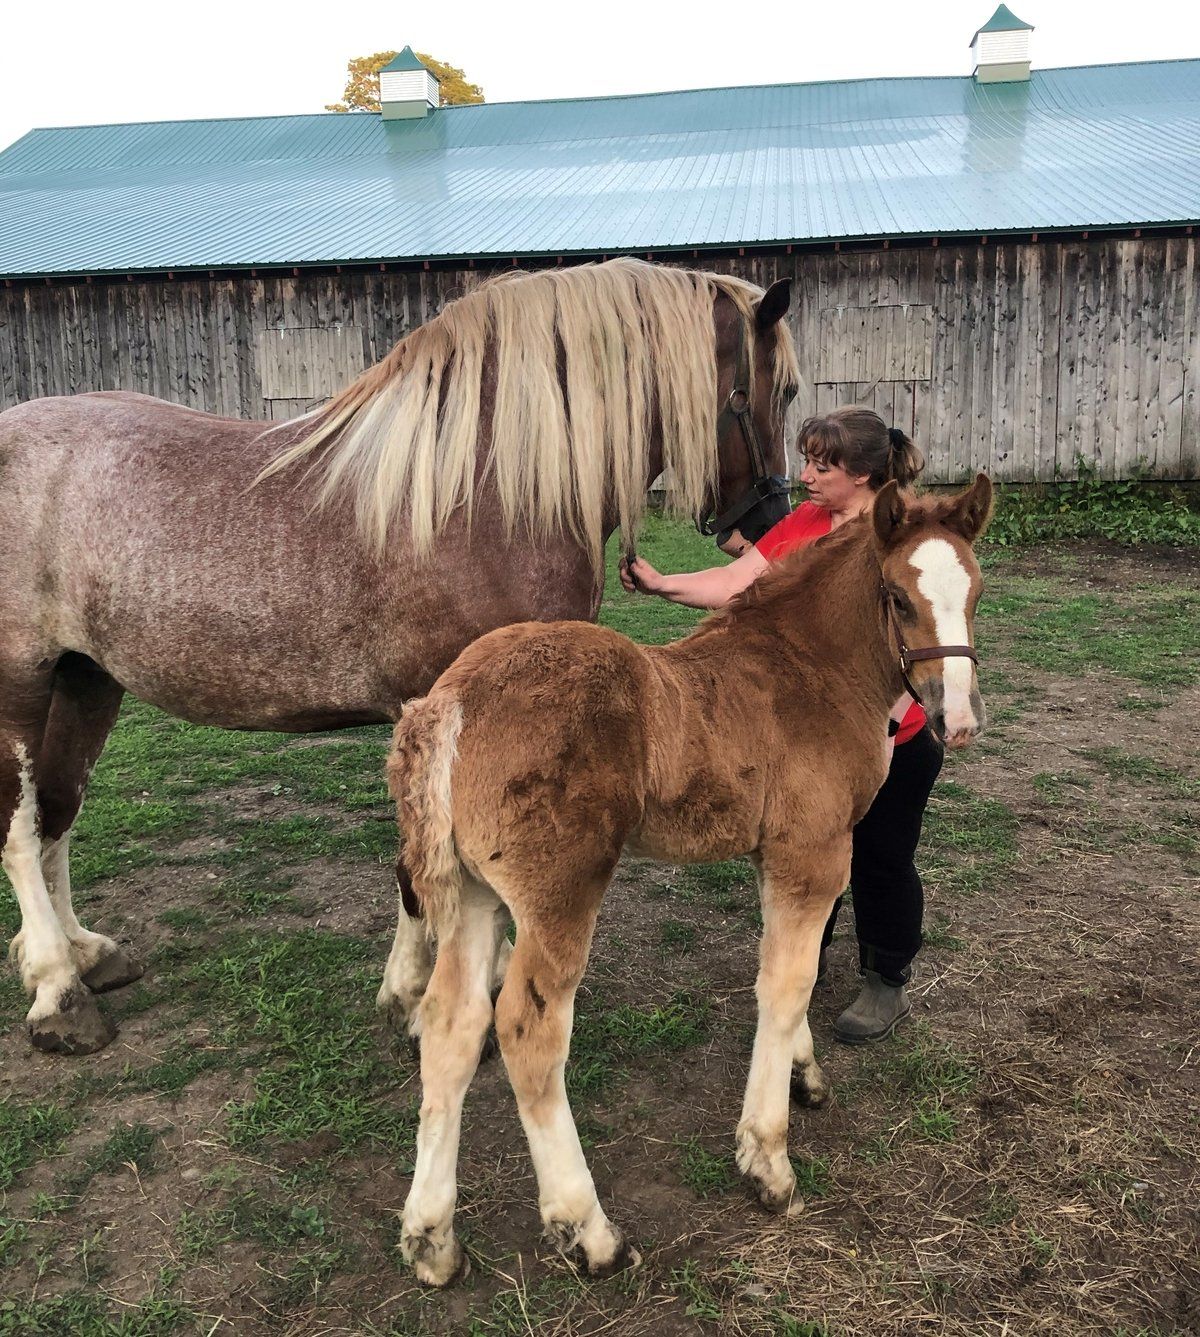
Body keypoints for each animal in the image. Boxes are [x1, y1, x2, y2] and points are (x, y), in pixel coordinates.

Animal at [0, 258, 800, 1056]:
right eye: (784, 391)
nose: (769, 521)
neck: (485, 491)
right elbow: (428, 866)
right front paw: (419, 999)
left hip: (86, 679)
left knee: (57, 810)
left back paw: (85, 954)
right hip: (21, 685)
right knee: (19, 823)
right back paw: (58, 993)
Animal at [384, 475, 993, 1287]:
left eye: (977, 591)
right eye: (897, 596)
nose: (956, 717)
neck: (810, 670)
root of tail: (447, 700)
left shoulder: (777, 856)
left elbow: (782, 969)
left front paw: (804, 1073)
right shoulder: (815, 852)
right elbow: (788, 983)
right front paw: (768, 1161)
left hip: (474, 896)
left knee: (451, 1025)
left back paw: (431, 1238)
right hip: (557, 895)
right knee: (528, 1031)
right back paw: (591, 1231)